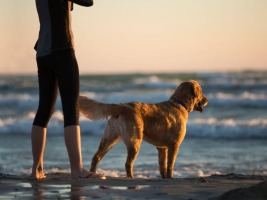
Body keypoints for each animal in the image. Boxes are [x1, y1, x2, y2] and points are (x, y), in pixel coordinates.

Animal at [79, 79, 209, 178]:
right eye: (201, 92)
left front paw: (164, 178)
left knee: (96, 157)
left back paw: (93, 173)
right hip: (135, 141)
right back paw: (131, 178)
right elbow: (170, 165)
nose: (207, 100)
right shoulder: (174, 145)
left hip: (109, 139)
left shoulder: (162, 148)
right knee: (128, 163)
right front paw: (171, 177)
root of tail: (122, 106)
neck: (179, 104)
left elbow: (162, 165)